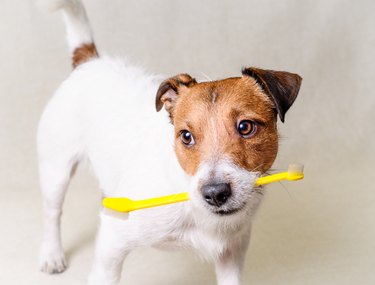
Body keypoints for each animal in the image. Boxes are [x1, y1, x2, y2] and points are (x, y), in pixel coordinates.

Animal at [38, 1, 302, 282]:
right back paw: (52, 254)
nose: (215, 193)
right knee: (52, 212)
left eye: (246, 127)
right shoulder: (112, 242)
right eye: (186, 136)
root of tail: (90, 62)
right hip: (56, 171)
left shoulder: (233, 250)